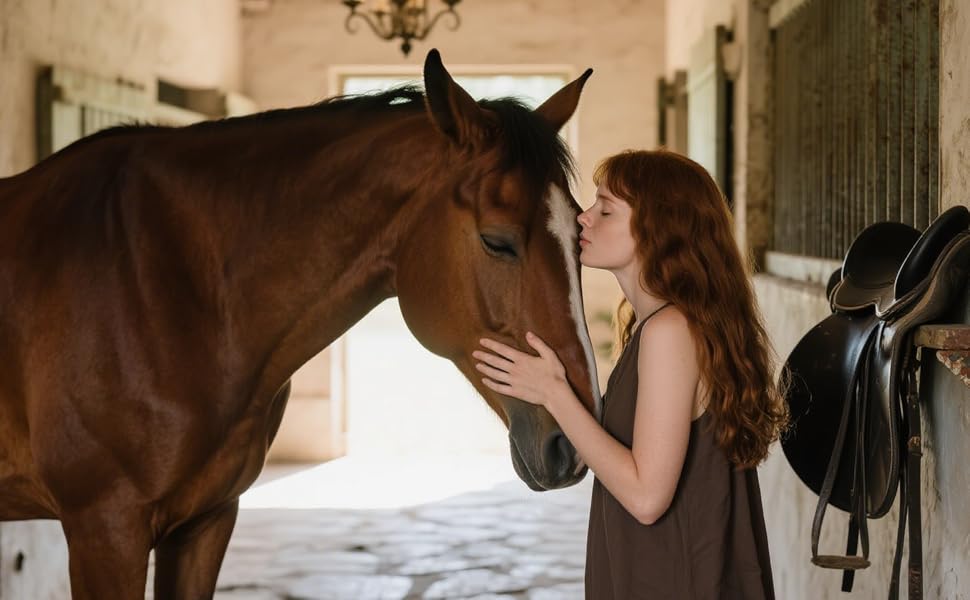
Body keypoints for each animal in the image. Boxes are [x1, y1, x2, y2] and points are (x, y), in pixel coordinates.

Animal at [0, 49, 599, 598]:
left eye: (580, 235)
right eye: (497, 241)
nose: (572, 445)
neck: (173, 286)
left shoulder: (204, 523)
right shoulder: (106, 531)